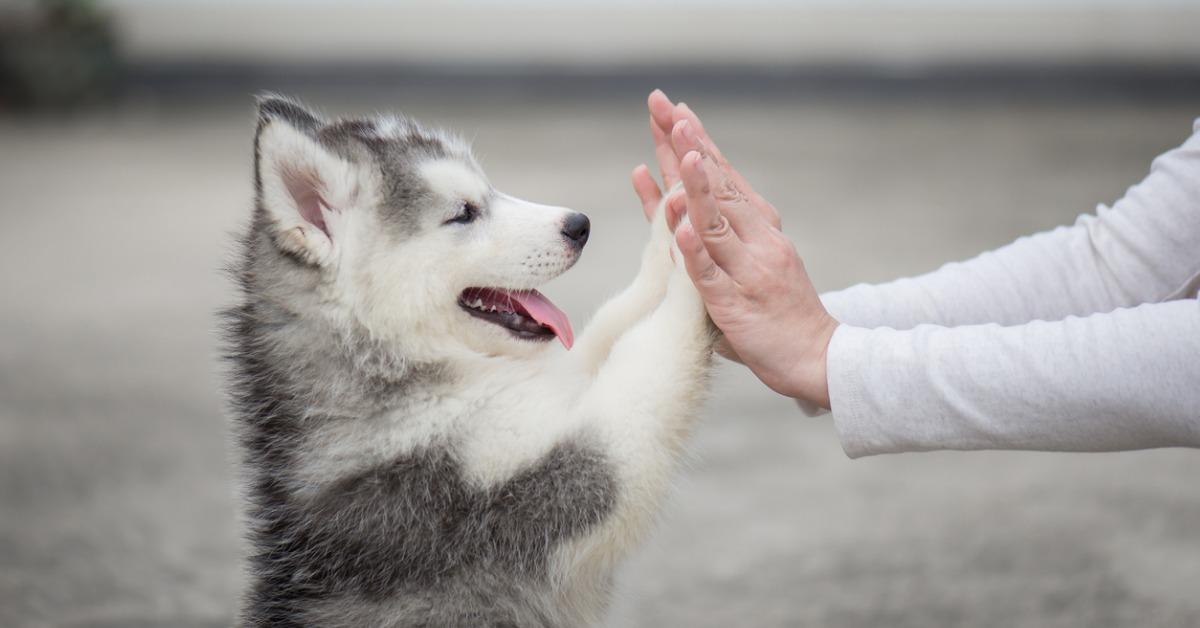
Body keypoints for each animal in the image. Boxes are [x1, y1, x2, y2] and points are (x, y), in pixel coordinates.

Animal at [223, 94, 710, 628]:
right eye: (463, 213)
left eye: (489, 190)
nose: (579, 225)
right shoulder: (536, 484)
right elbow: (647, 358)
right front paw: (699, 261)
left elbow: (611, 324)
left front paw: (672, 223)